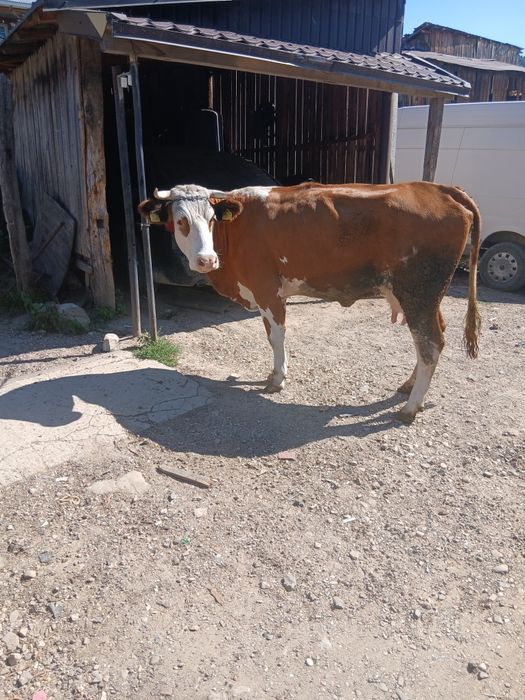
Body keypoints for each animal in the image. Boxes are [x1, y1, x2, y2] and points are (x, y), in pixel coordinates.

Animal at [138, 181, 481, 423]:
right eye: (180, 221)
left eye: (211, 219)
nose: (206, 260)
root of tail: (436, 188)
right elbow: (272, 335)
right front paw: (274, 374)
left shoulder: (267, 289)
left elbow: (276, 336)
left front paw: (277, 379)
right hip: (425, 297)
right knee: (433, 338)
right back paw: (409, 387)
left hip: (418, 293)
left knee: (430, 345)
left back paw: (410, 407)